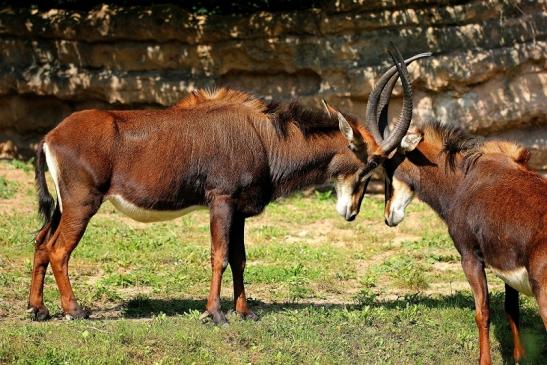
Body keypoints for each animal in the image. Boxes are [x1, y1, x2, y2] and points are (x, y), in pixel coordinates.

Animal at [30, 49, 428, 324]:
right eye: (371, 164)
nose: (351, 212)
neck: (266, 139)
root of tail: (50, 136)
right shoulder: (221, 201)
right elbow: (219, 255)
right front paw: (215, 314)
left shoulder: (240, 210)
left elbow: (240, 258)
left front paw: (245, 312)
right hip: (82, 202)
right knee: (59, 249)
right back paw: (74, 310)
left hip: (63, 205)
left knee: (41, 242)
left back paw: (39, 310)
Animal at [348, 47, 544, 362]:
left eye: (388, 166)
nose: (388, 216)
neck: (464, 178)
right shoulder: (505, 267)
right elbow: (511, 311)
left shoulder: (470, 257)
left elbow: (482, 312)